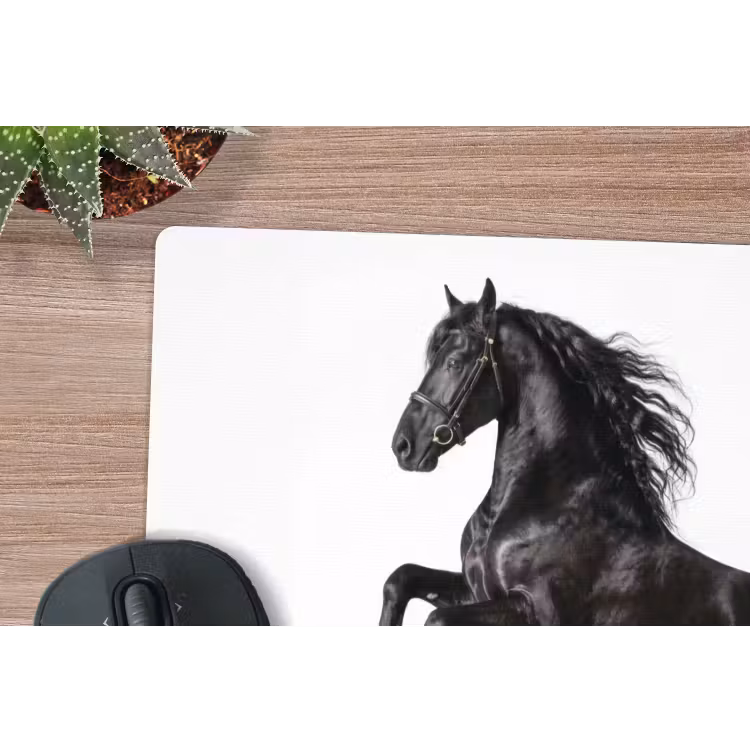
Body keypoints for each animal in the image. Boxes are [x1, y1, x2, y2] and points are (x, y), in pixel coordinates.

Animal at [380, 278, 750, 625]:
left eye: (455, 363)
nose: (403, 445)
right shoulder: (472, 590)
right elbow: (400, 579)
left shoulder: (536, 609)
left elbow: (435, 617)